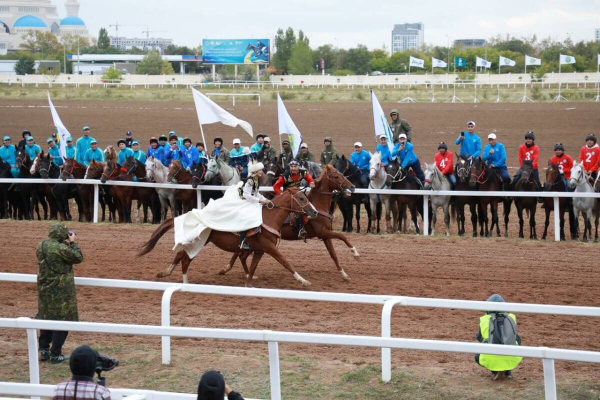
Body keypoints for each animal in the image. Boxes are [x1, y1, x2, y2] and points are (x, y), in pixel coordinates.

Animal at [139, 188, 318, 288]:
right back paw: (185, 283)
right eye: (302, 198)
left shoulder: (260, 250)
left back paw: (165, 273)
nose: (314, 212)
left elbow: (252, 267)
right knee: (184, 260)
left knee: (180, 255)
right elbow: (286, 262)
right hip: (199, 242)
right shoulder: (270, 248)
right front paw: (303, 280)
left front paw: (249, 283)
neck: (268, 218)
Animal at [223, 165, 358, 282]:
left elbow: (333, 255)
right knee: (240, 253)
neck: (318, 207)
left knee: (241, 253)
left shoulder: (325, 235)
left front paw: (344, 274)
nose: (352, 187)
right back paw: (229, 269)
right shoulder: (323, 232)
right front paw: (355, 252)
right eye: (336, 176)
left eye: (342, 174)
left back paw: (232, 270)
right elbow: (342, 236)